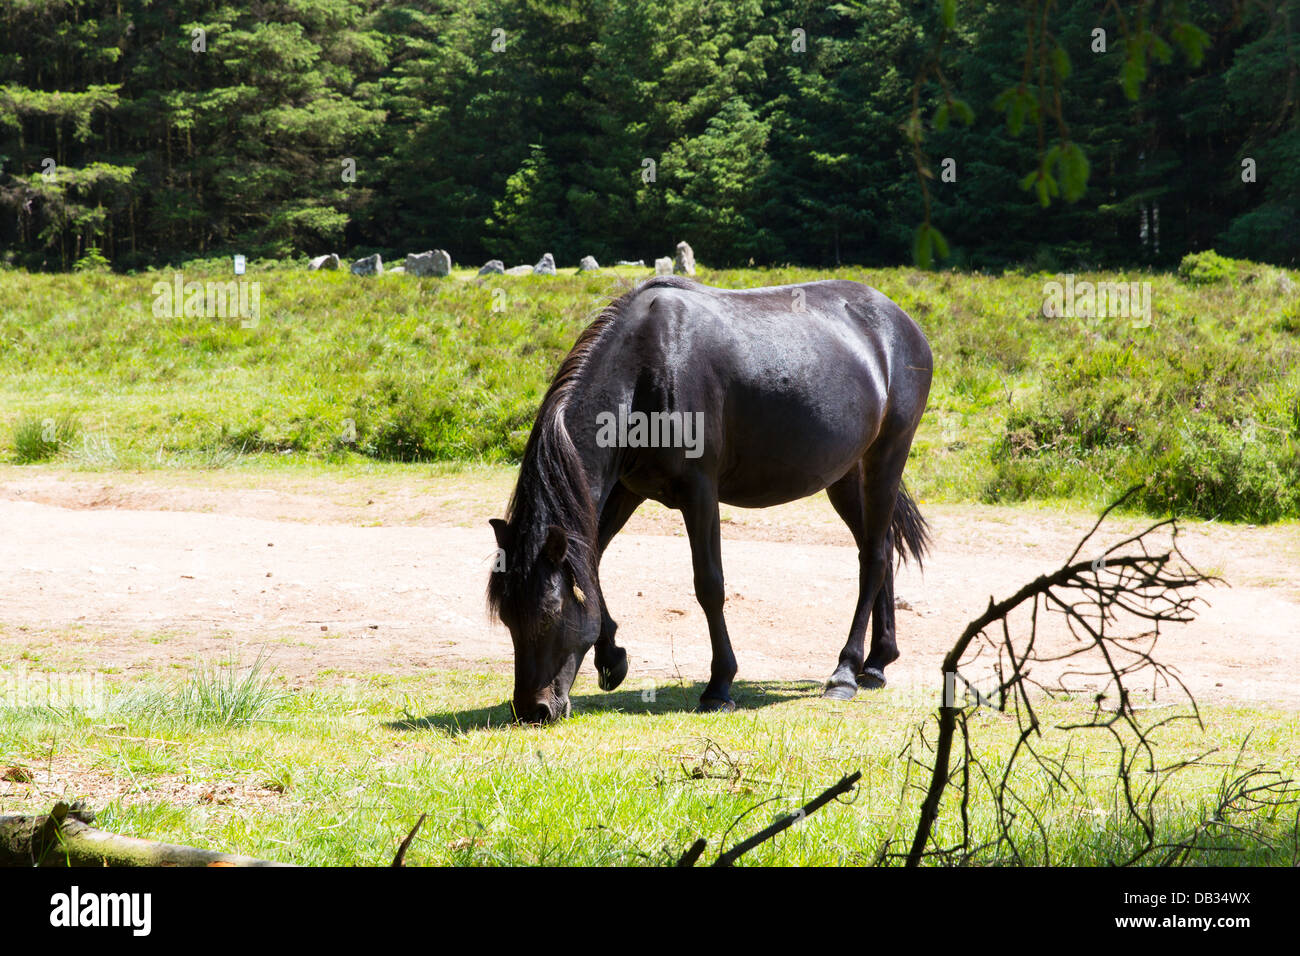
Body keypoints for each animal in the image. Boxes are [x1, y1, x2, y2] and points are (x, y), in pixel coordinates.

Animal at [488, 273, 935, 723]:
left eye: (550, 612)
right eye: (506, 615)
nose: (532, 709)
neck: (647, 371)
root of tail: (901, 321)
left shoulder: (700, 493)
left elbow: (709, 585)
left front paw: (719, 685)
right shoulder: (626, 491)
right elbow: (592, 564)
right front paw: (612, 658)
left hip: (886, 457)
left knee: (873, 558)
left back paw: (845, 672)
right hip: (844, 475)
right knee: (880, 547)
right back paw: (876, 663)